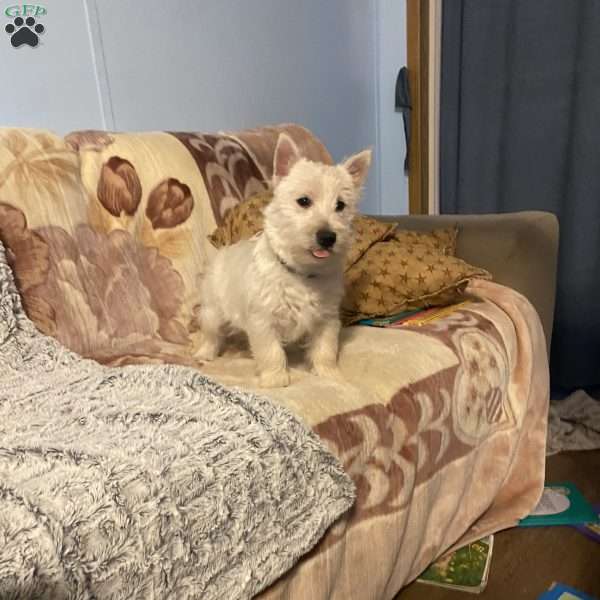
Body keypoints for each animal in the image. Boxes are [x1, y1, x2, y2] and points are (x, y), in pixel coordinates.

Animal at [195, 135, 370, 390]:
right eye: (303, 201)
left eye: (340, 205)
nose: (327, 237)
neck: (302, 272)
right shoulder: (263, 319)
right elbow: (271, 351)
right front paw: (276, 378)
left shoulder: (326, 319)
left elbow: (325, 349)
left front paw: (329, 374)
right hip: (213, 309)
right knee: (211, 333)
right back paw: (205, 353)